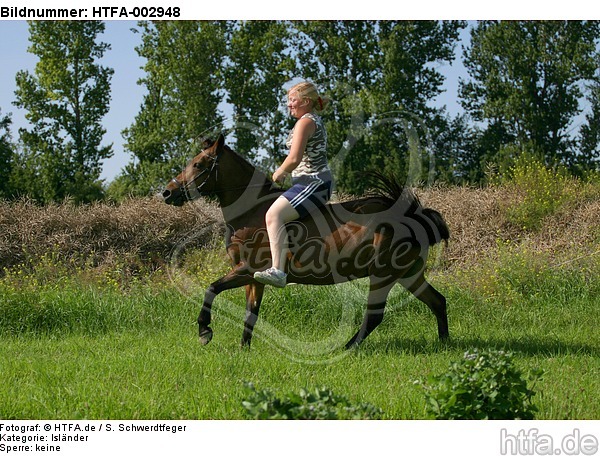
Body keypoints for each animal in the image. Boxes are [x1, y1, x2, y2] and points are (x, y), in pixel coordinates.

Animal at [162, 134, 448, 350]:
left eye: (199, 164)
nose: (167, 192)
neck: (250, 212)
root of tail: (413, 218)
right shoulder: (253, 278)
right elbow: (250, 313)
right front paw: (243, 349)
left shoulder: (247, 269)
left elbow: (212, 289)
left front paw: (204, 331)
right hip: (407, 274)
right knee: (437, 301)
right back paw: (444, 344)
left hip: (383, 275)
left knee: (375, 315)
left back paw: (348, 348)